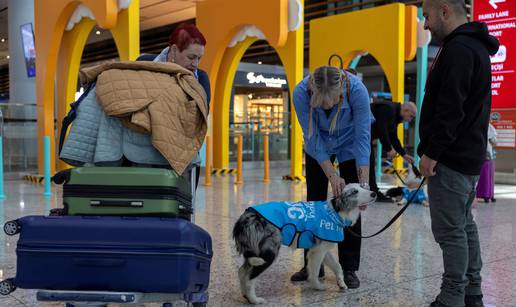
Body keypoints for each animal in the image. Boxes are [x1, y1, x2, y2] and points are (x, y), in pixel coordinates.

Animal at [233, 184, 374, 304]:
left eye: (363, 186)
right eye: (354, 192)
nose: (374, 193)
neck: (335, 212)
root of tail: (245, 218)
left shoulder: (323, 248)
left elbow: (337, 266)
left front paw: (341, 283)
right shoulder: (317, 252)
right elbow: (315, 271)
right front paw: (317, 286)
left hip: (254, 253)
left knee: (242, 272)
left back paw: (245, 295)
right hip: (267, 254)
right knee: (249, 279)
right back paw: (254, 300)